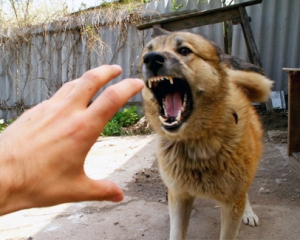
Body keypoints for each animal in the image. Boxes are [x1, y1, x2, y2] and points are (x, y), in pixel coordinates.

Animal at [139, 28, 274, 240]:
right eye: (147, 52)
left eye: (184, 50)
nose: (151, 59)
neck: (196, 143)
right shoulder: (179, 197)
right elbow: (176, 232)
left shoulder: (231, 203)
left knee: (245, 193)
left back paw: (249, 212)